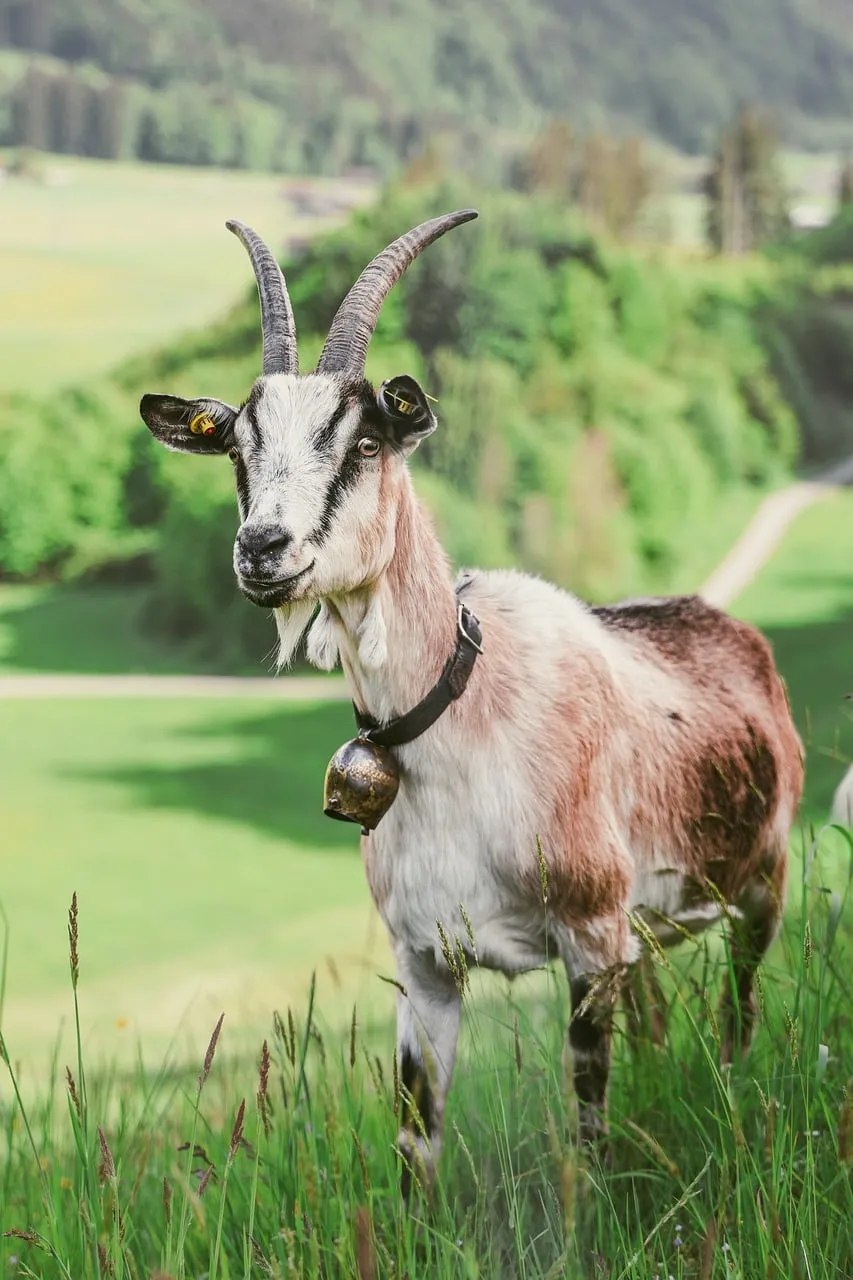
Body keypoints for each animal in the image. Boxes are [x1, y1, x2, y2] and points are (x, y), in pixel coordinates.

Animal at [140, 211, 805, 1196]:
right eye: (236, 448)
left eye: (364, 441)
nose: (264, 549)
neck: (460, 719)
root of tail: (723, 626)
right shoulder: (423, 963)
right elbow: (416, 1145)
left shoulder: (589, 939)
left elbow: (587, 1129)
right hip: (646, 931)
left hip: (761, 882)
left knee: (738, 1011)